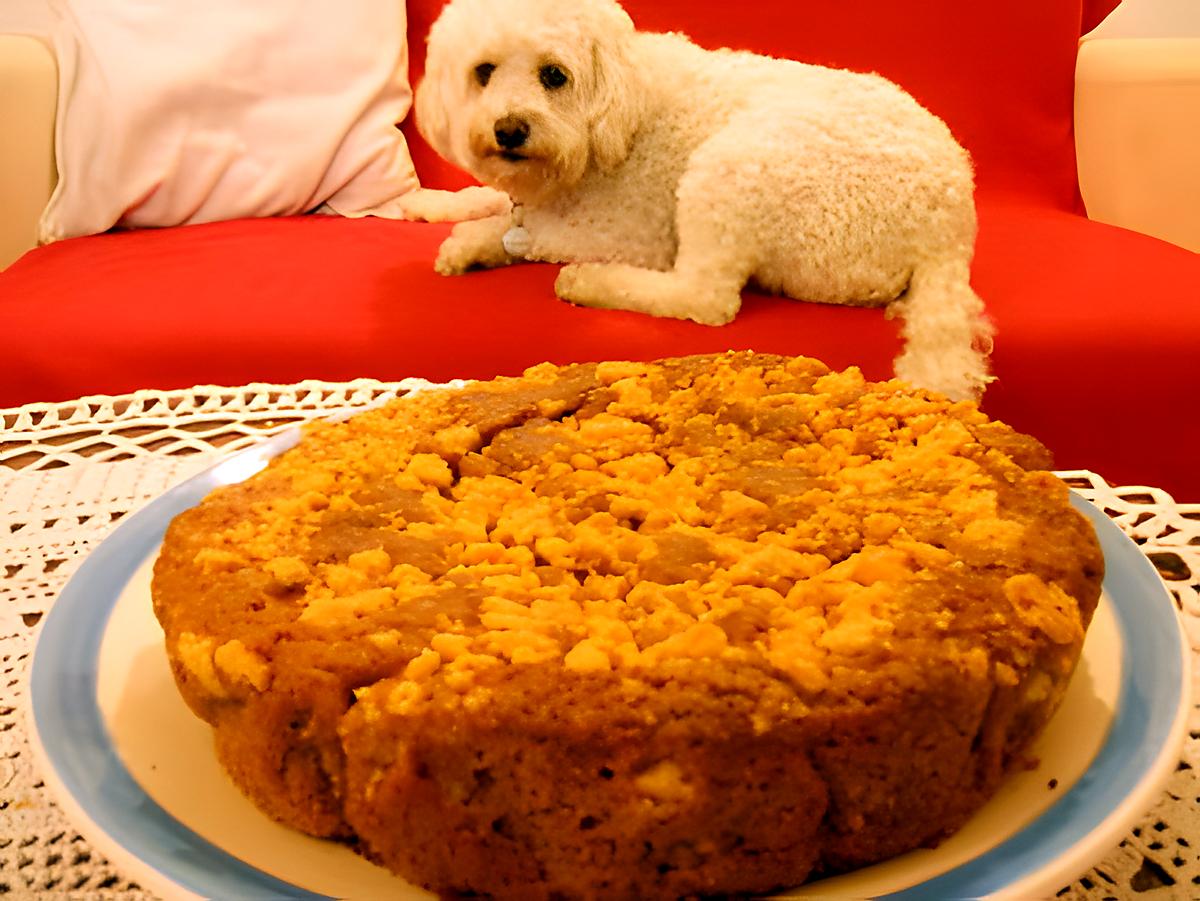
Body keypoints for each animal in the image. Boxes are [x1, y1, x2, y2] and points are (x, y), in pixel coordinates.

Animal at [417, 0, 988, 398]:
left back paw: (590, 281)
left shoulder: (626, 232)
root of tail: (950, 227)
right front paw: (435, 205)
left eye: (554, 75)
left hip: (732, 168)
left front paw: (473, 241)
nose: (509, 130)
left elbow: (529, 233)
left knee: (704, 298)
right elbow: (490, 199)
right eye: (483, 71)